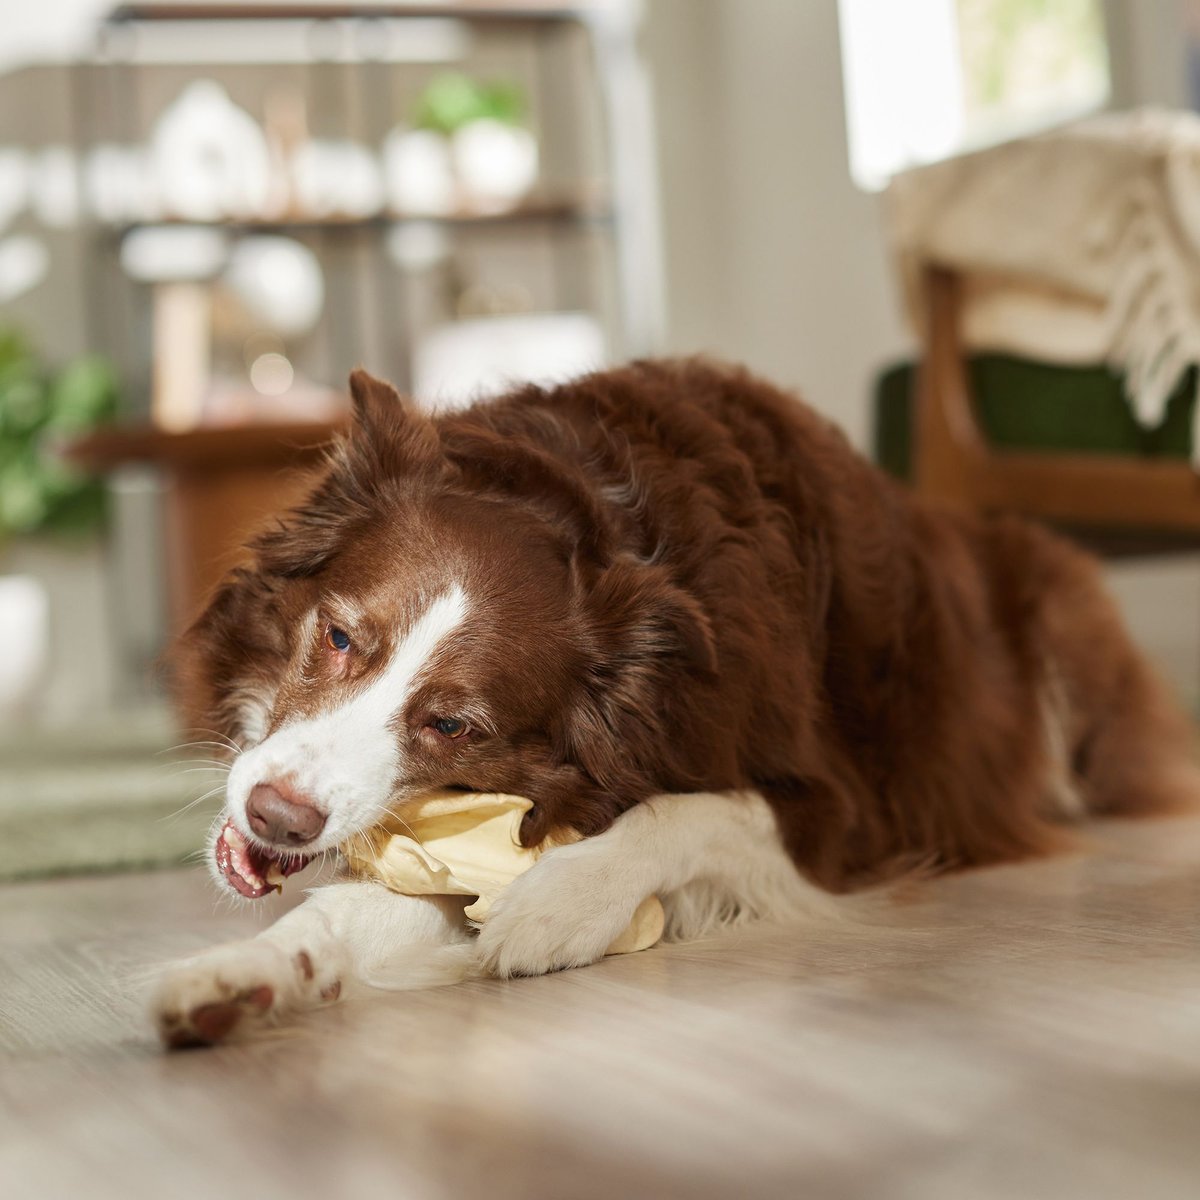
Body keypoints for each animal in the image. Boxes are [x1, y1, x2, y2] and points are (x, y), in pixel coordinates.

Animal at [154, 357, 1195, 1051]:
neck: (594, 508)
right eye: (338, 636)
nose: (277, 815)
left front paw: (560, 904)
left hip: (1065, 633)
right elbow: (343, 914)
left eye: (452, 724)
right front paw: (239, 977)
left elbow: (690, 810)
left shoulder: (843, 809)